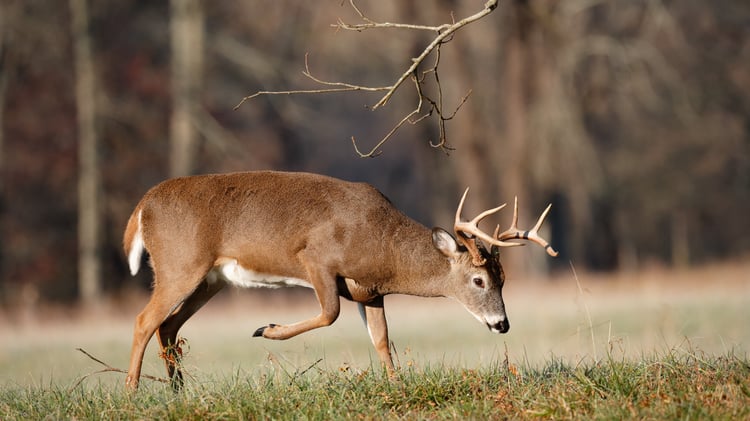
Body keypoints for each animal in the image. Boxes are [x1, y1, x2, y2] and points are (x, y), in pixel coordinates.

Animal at [122, 170, 557, 390]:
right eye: (479, 280)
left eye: (505, 280)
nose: (502, 324)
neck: (383, 245)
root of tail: (142, 207)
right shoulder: (316, 259)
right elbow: (329, 313)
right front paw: (266, 329)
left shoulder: (370, 292)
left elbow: (382, 339)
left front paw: (396, 386)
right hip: (180, 264)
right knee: (144, 321)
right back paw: (132, 393)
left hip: (209, 280)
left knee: (167, 326)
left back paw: (179, 391)